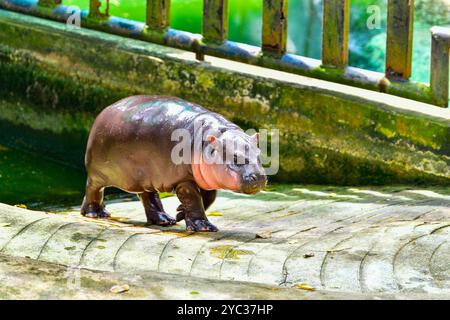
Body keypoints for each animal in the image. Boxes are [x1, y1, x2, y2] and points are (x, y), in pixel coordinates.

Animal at [81, 95, 268, 232]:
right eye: (235, 158)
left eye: (259, 154)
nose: (259, 177)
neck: (210, 139)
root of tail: (106, 109)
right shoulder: (183, 180)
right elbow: (193, 199)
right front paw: (203, 227)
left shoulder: (205, 179)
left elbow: (209, 198)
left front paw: (180, 213)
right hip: (97, 174)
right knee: (93, 189)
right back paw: (95, 214)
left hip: (144, 177)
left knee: (148, 196)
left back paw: (164, 220)